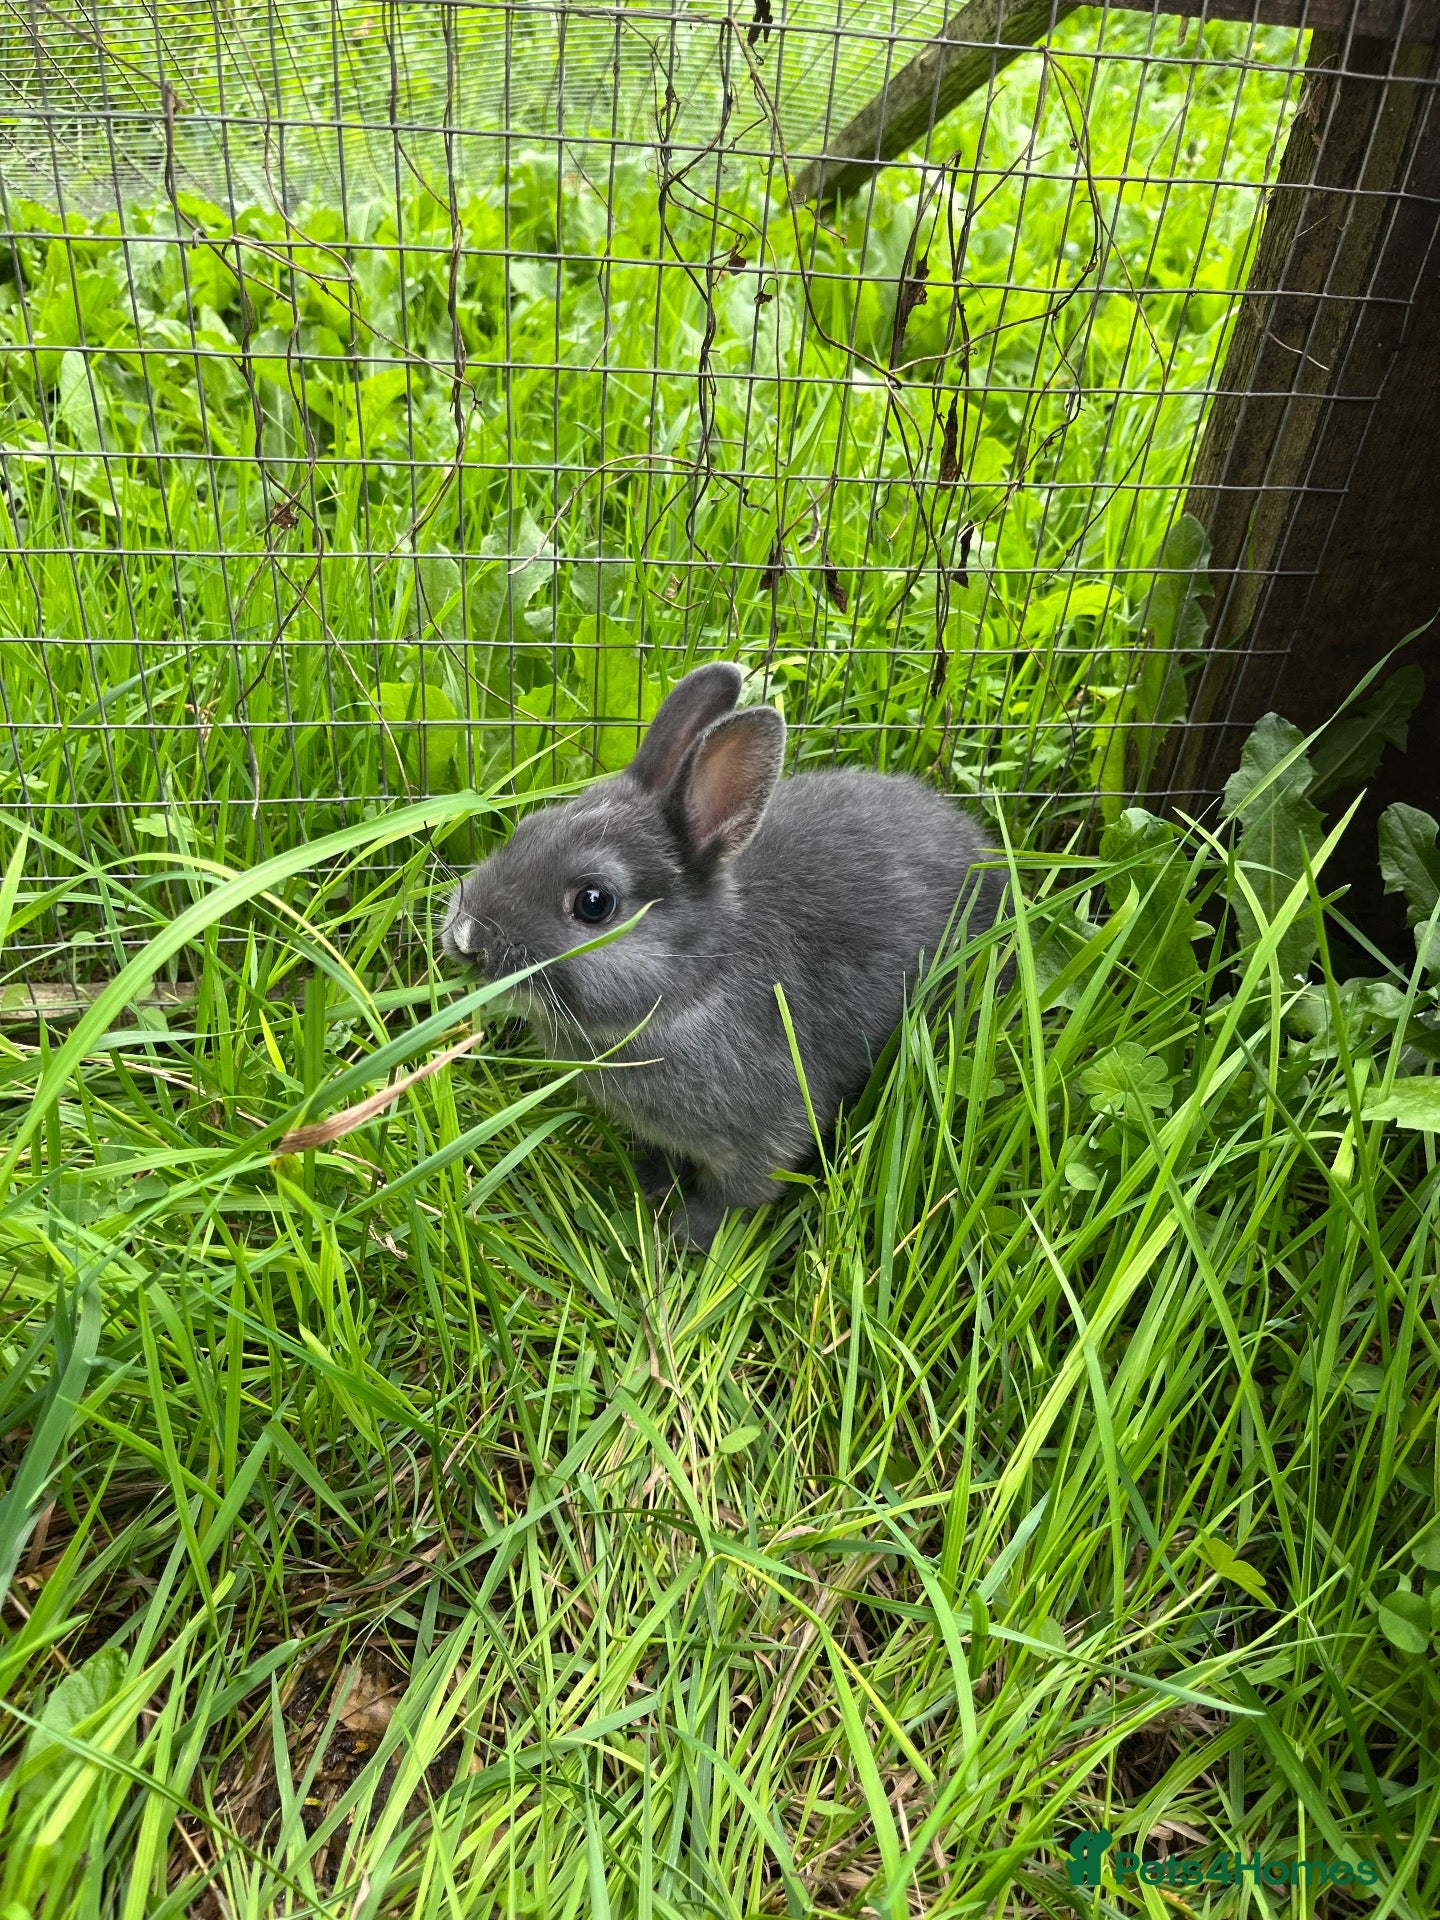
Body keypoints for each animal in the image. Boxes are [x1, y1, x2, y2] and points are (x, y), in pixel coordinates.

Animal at [441, 662, 1006, 1249]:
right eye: (526, 830)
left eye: (594, 902)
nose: (466, 939)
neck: (695, 985)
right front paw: (651, 1183)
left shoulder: (763, 1139)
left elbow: (736, 1195)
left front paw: (688, 1235)